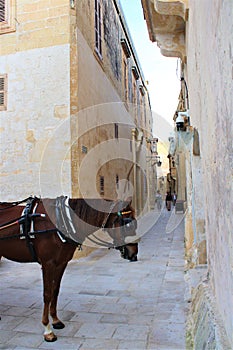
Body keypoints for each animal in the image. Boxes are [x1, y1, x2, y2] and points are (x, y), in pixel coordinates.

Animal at [0, 197, 138, 342]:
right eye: (128, 223)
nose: (134, 254)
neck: (61, 220)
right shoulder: (48, 264)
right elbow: (47, 294)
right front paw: (47, 329)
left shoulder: (61, 263)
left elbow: (55, 291)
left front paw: (55, 320)